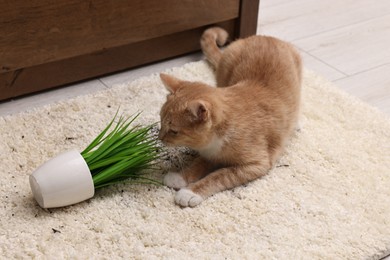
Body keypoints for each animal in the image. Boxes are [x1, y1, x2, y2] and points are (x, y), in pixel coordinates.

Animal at [158, 27, 302, 207]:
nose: (159, 137)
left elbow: (219, 176)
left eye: (174, 131)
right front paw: (180, 177)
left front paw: (190, 192)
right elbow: (199, 162)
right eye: (160, 121)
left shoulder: (256, 164)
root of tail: (266, 37)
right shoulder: (210, 153)